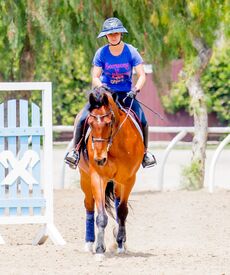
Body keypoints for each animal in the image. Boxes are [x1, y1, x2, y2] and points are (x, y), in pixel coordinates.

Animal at [78, 87, 145, 256]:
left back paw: (119, 242)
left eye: (108, 123)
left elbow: (121, 211)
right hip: (85, 178)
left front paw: (120, 242)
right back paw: (89, 243)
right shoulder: (98, 177)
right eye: (90, 122)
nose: (100, 159)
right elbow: (101, 216)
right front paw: (99, 249)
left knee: (117, 202)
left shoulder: (129, 179)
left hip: (118, 181)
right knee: (89, 205)